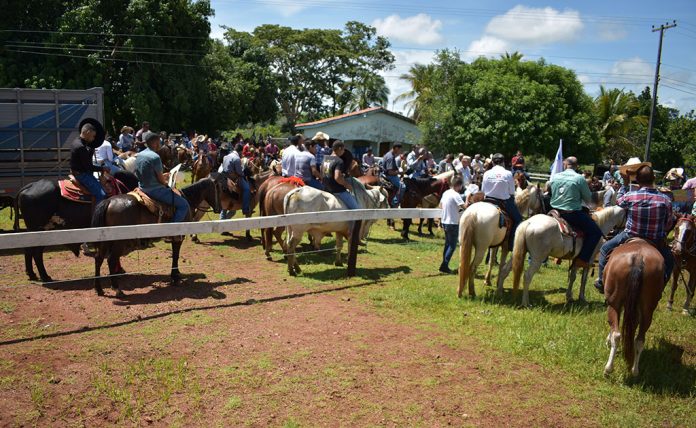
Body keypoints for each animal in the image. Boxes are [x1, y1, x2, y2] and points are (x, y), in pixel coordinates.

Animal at [90, 176, 223, 297]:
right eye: (218, 189)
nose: (219, 208)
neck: (187, 199)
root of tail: (109, 201)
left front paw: (176, 275)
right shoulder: (178, 237)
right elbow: (176, 256)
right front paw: (175, 277)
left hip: (105, 239)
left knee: (98, 258)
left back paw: (99, 289)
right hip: (119, 241)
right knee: (111, 259)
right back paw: (116, 289)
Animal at [603, 239, 666, 377]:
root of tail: (638, 257)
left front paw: (608, 340)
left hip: (614, 303)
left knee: (616, 334)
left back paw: (608, 368)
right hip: (647, 309)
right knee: (640, 340)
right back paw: (635, 370)